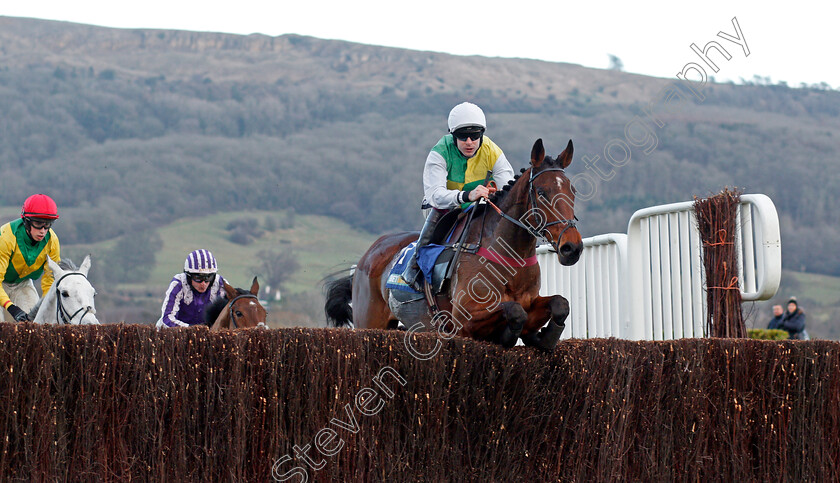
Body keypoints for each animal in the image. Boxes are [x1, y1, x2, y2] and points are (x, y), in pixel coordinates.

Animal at [326, 139, 584, 352]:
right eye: (541, 192)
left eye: (572, 190)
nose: (572, 248)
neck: (509, 254)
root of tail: (366, 259)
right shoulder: (464, 320)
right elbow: (514, 310)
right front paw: (510, 335)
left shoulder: (532, 301)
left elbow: (560, 303)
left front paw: (543, 337)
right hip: (369, 322)